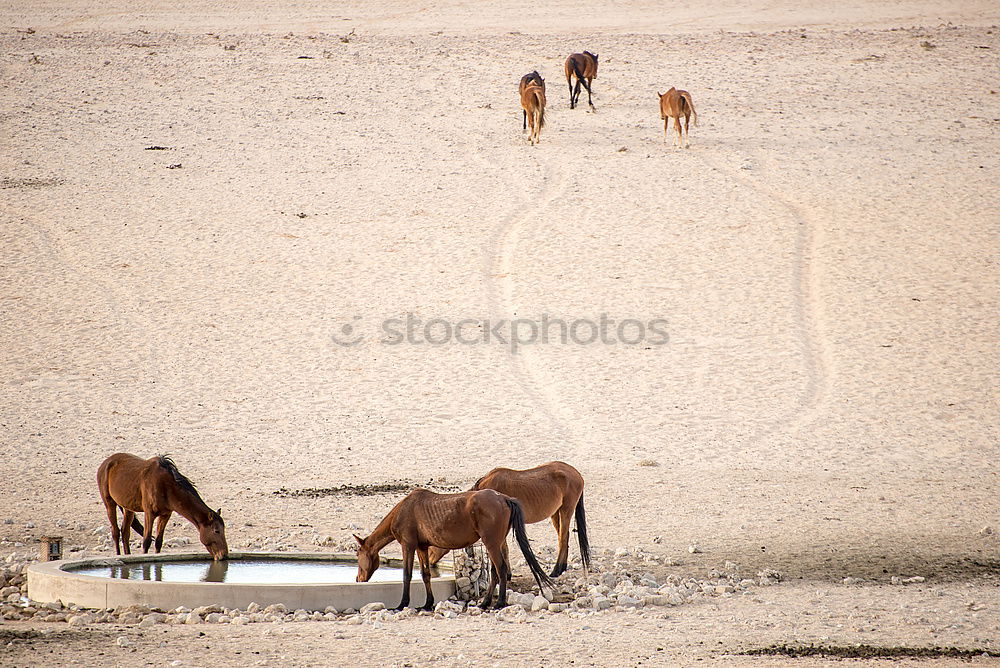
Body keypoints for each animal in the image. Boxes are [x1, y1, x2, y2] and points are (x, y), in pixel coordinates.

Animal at [96, 454, 228, 560]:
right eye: (216, 531)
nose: (224, 555)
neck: (166, 486)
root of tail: (106, 463)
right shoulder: (149, 513)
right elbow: (146, 541)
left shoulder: (165, 514)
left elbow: (158, 541)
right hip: (109, 503)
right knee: (115, 532)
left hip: (128, 508)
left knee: (125, 532)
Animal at [354, 486, 556, 612]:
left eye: (358, 554)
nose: (358, 579)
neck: (404, 510)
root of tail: (504, 498)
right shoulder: (422, 547)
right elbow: (426, 575)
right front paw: (427, 604)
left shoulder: (408, 545)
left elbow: (407, 575)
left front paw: (402, 604)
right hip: (496, 543)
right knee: (495, 571)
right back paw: (485, 603)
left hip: (491, 543)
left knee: (500, 569)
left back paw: (498, 603)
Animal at [428, 462, 584, 576]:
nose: (429, 562)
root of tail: (577, 474)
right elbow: (504, 549)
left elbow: (504, 549)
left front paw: (507, 574)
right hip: (555, 513)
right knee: (563, 537)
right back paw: (562, 568)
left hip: (566, 510)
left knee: (563, 538)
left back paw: (557, 570)